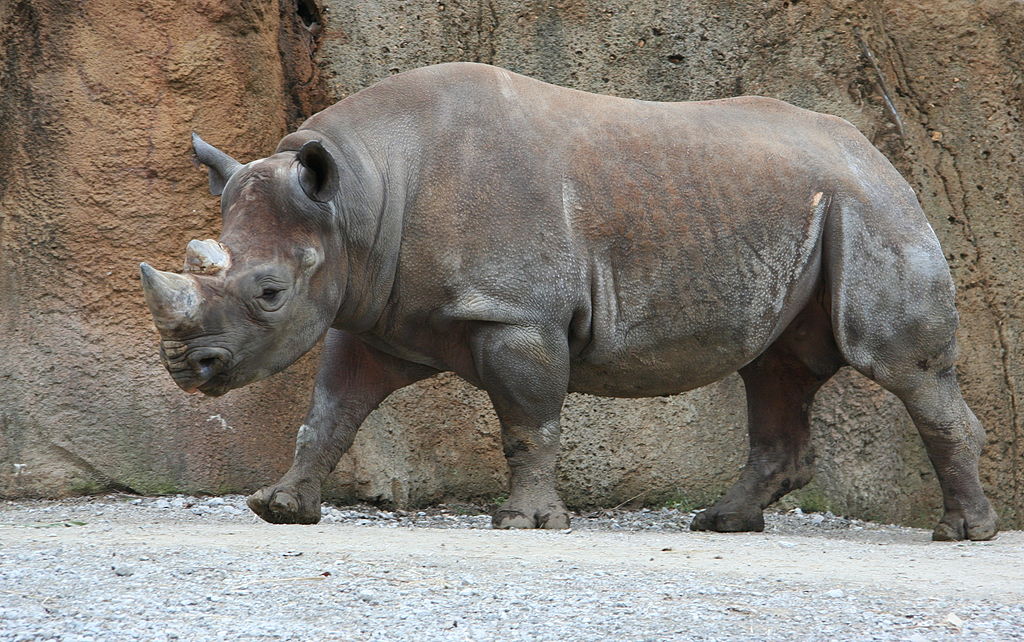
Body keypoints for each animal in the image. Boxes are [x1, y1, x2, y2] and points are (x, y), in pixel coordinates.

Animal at [140, 62, 997, 540]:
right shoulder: (376, 313)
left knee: (898, 365)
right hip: (813, 206)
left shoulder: (515, 311)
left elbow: (528, 419)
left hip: (873, 210)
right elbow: (330, 411)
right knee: (776, 368)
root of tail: (879, 151)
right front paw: (280, 508)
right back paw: (723, 523)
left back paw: (962, 533)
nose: (185, 367)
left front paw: (523, 522)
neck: (357, 196)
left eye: (270, 292)